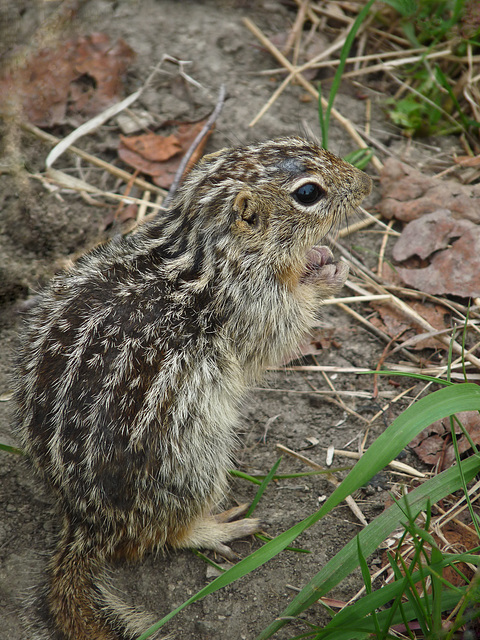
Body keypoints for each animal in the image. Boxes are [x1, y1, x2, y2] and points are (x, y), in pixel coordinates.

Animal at [12, 136, 372, 640]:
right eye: (308, 194)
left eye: (306, 143)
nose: (367, 183)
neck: (200, 251)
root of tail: (87, 524)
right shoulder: (250, 304)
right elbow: (278, 332)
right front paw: (323, 275)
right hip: (194, 462)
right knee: (163, 536)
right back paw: (217, 528)